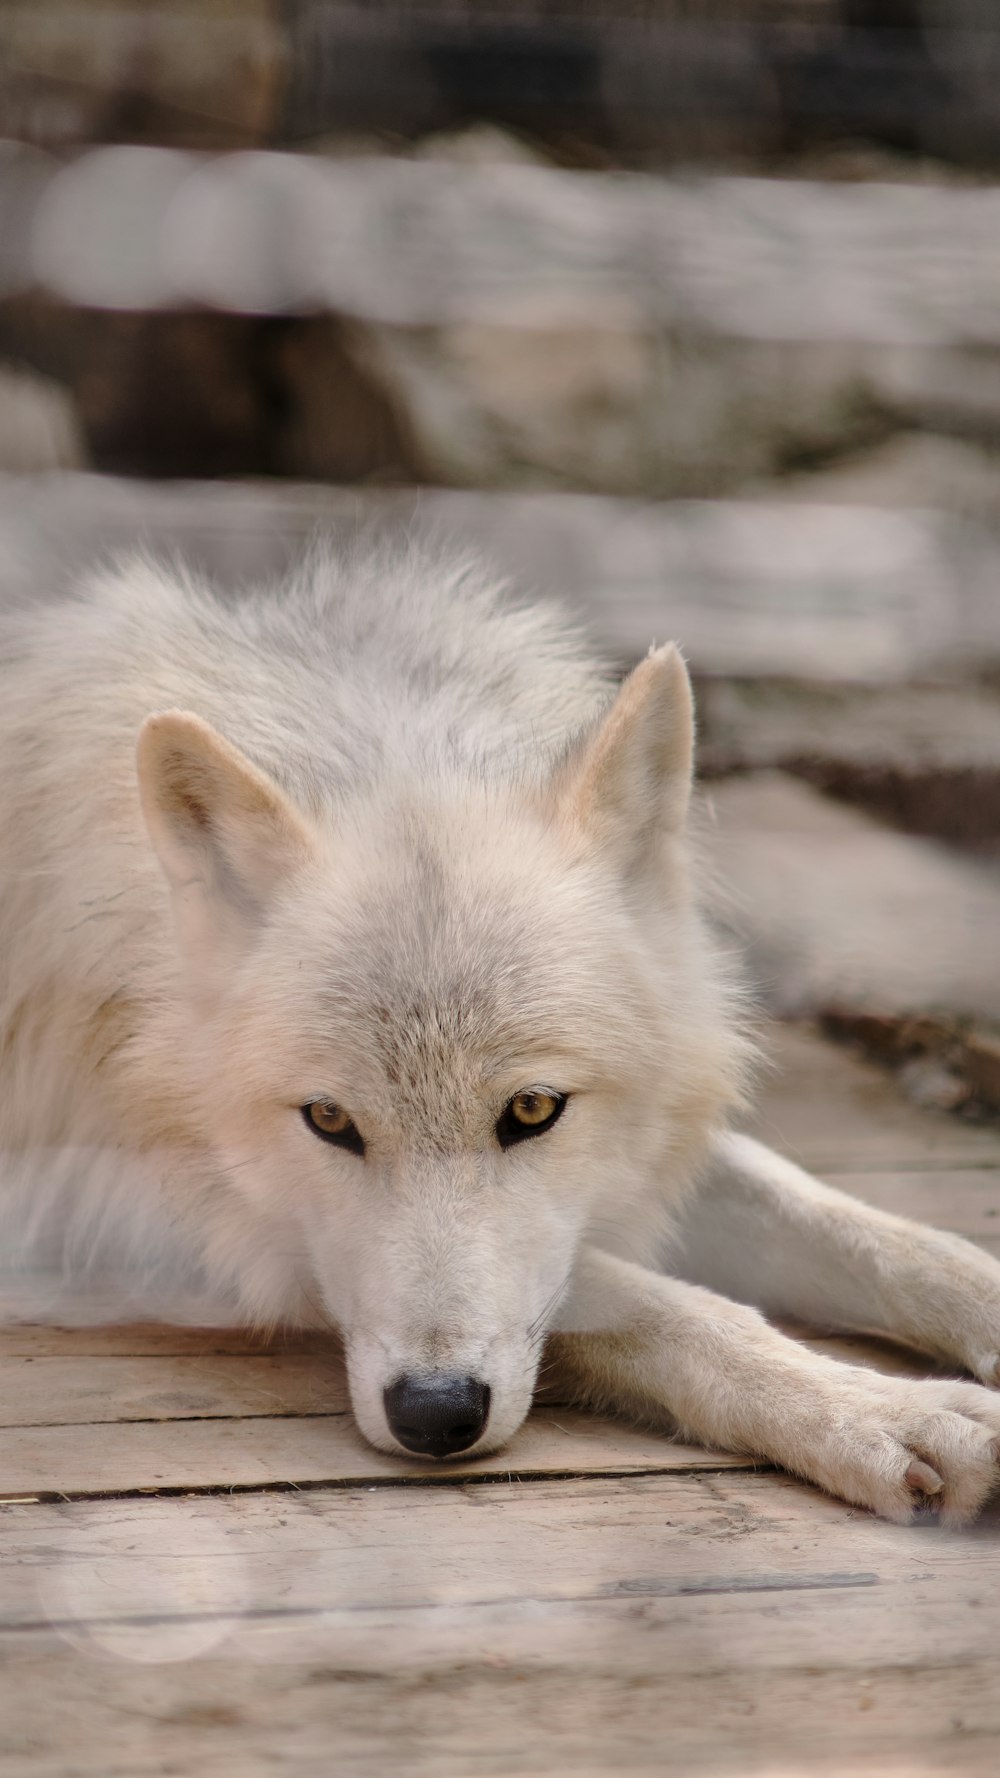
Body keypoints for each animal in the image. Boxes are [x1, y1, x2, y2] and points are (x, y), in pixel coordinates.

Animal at [1, 533, 996, 1521]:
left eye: (532, 1111)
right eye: (328, 1121)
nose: (434, 1414)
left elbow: (869, 1229)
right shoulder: (158, 1215)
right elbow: (658, 1302)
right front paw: (880, 1408)